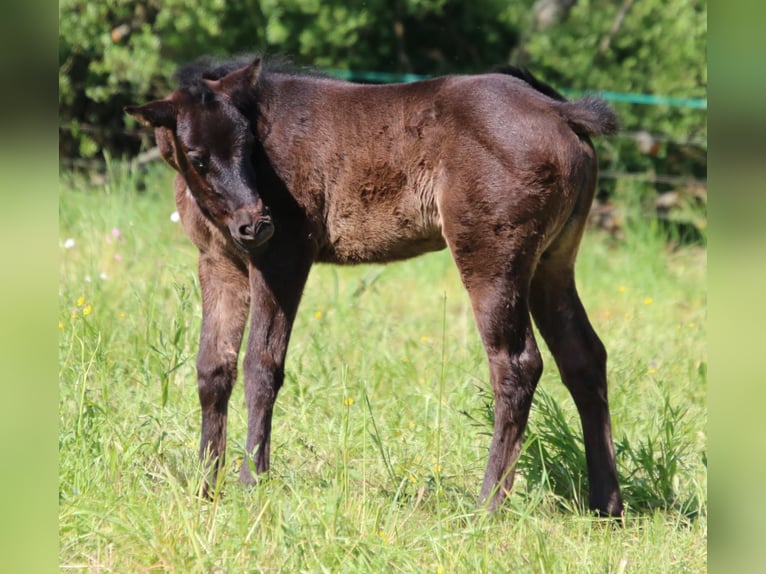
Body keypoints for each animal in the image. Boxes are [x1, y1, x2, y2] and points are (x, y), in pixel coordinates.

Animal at [126, 57, 628, 516]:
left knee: (517, 363)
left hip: (492, 258)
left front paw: (252, 482)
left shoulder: (284, 257)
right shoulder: (219, 263)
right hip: (552, 262)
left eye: (249, 145)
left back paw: (487, 506)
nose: (256, 223)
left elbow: (261, 365)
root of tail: (560, 112)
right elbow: (213, 367)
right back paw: (607, 505)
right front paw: (205, 488)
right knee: (584, 356)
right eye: (198, 157)